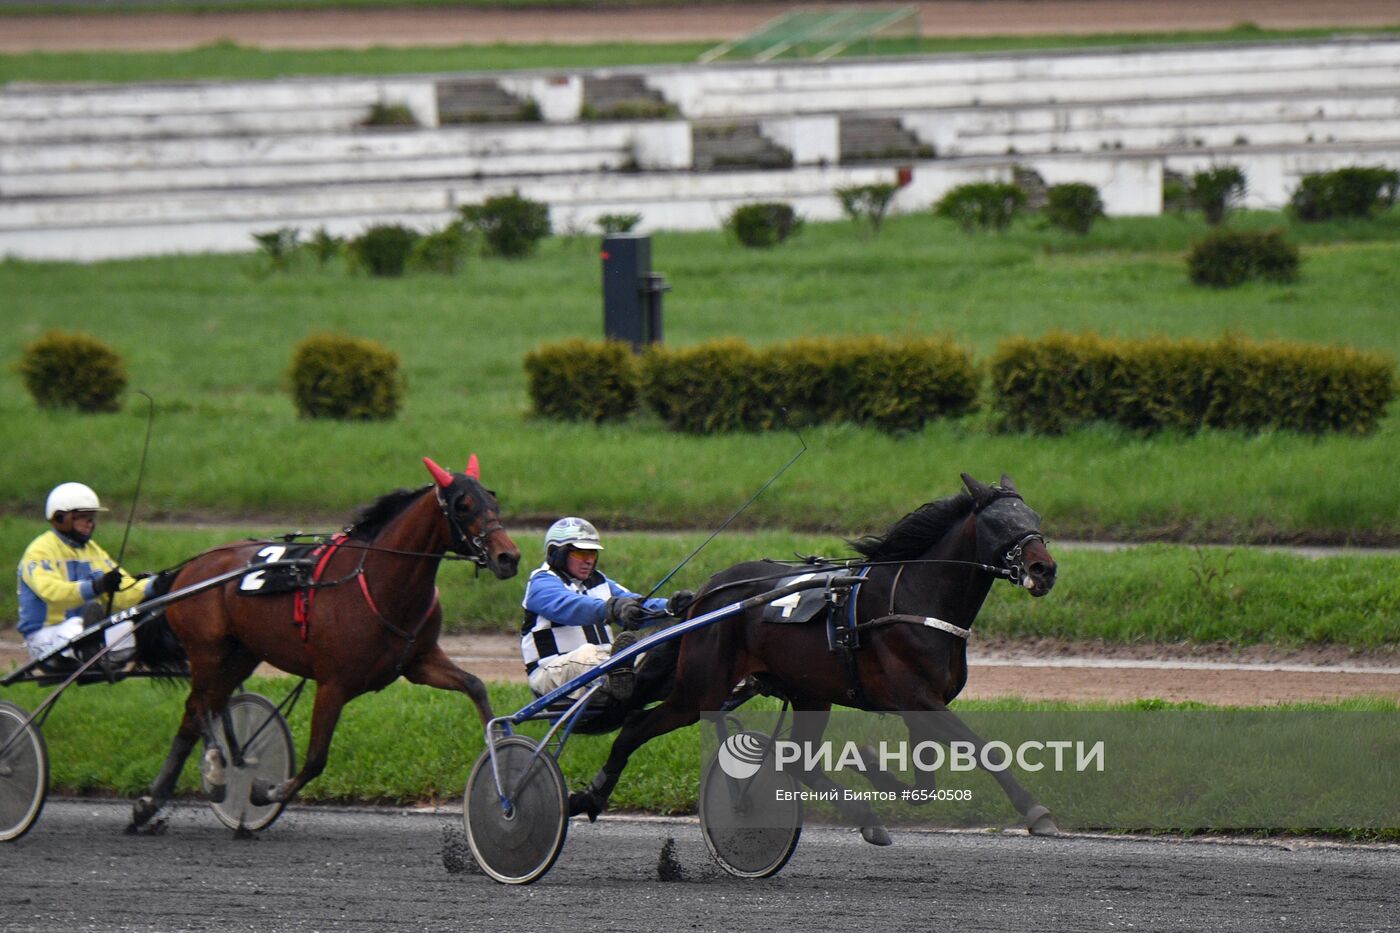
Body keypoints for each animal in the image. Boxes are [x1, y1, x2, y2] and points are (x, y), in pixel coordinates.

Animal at [131, 453, 520, 823]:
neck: (378, 583)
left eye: (493, 501)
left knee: (198, 711)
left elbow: (475, 686)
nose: (509, 557)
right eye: (463, 505)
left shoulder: (418, 662)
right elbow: (316, 758)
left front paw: (501, 751)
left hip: (240, 655)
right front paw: (266, 791)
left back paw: (150, 803)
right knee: (199, 707)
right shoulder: (333, 684)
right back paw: (213, 772)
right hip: (206, 650)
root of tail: (189, 568)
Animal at [568, 467, 1058, 840]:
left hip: (809, 695)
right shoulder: (919, 699)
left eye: (1034, 517)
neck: (914, 599)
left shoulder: (919, 707)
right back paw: (588, 796)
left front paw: (872, 766)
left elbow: (927, 783)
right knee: (635, 726)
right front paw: (1036, 812)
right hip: (699, 689)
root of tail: (707, 593)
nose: (1044, 570)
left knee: (798, 760)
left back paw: (867, 819)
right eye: (1002, 524)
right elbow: (983, 749)